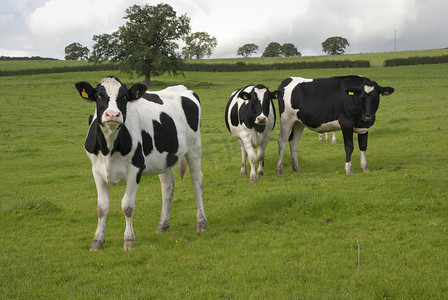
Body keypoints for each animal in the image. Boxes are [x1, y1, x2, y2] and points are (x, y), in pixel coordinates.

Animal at [75, 76, 206, 250]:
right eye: (98, 96)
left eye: (124, 97)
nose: (113, 114)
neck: (109, 148)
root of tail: (183, 88)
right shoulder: (96, 170)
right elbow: (102, 207)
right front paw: (97, 242)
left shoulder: (135, 169)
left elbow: (127, 206)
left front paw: (129, 241)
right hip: (164, 158)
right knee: (167, 186)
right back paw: (162, 225)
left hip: (194, 148)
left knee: (197, 182)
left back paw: (201, 223)